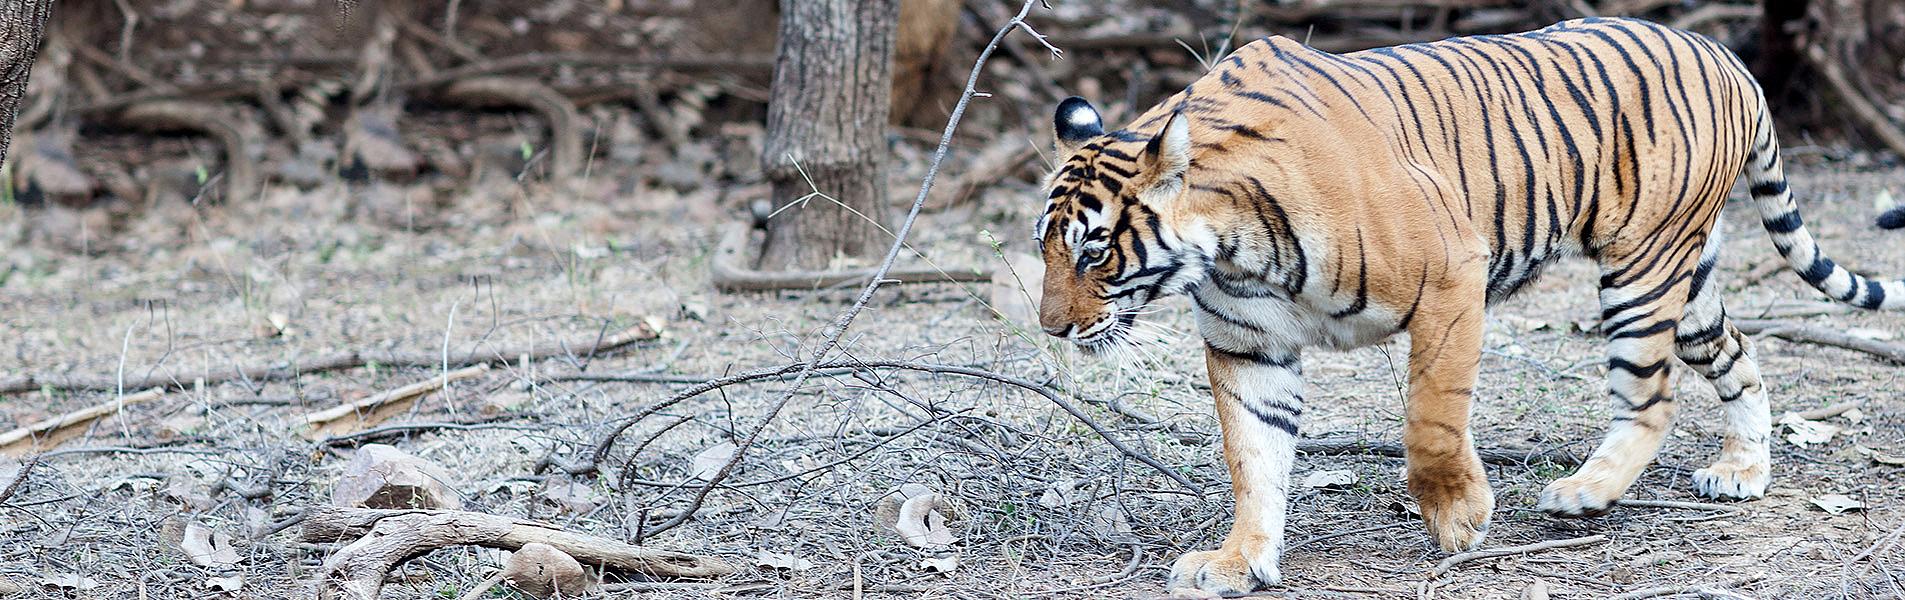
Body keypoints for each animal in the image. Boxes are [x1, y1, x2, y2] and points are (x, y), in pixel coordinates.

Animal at [1032, 16, 1905, 594]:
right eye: (1045, 247)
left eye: (1093, 251)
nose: (1052, 327)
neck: (1230, 245)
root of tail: (1726, 57)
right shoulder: (1248, 347)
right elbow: (1254, 458)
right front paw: (1238, 559)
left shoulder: (1450, 278)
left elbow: (1430, 420)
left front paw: (1458, 519)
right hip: (1687, 280)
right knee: (1738, 356)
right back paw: (1741, 471)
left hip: (1641, 268)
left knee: (1649, 396)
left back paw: (1585, 492)